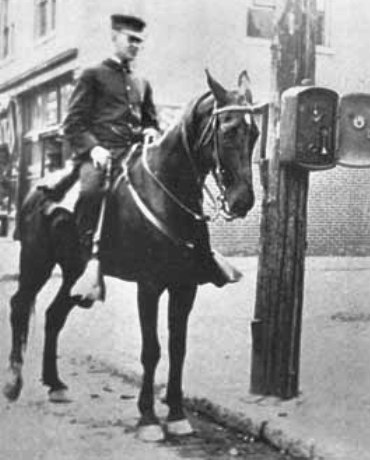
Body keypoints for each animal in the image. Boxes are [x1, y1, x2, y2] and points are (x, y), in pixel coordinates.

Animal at [4, 73, 262, 442]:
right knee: (19, 305)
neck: (166, 191)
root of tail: (36, 191)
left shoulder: (184, 287)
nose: (243, 201)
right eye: (228, 131)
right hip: (37, 261)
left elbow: (178, 348)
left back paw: (55, 384)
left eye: (255, 134)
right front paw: (149, 418)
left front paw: (178, 414)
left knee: (54, 315)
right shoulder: (149, 285)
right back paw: (13, 383)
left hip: (75, 272)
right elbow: (151, 350)